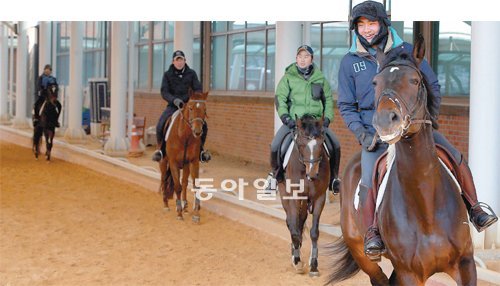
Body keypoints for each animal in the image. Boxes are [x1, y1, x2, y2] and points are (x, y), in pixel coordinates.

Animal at [159, 90, 208, 222]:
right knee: (164, 178)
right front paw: (179, 213)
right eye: (190, 108)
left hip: (186, 165)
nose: (197, 131)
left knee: (185, 182)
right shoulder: (173, 162)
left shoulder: (193, 161)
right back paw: (166, 205)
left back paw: (185, 205)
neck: (185, 136)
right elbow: (177, 186)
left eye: (204, 109)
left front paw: (196, 213)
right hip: (164, 161)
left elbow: (195, 185)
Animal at [280, 114, 330, 278]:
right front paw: (297, 262)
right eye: (301, 144)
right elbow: (294, 227)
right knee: (291, 222)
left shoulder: (319, 197)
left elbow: (314, 232)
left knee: (300, 221)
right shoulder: (294, 196)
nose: (312, 174)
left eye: (321, 143)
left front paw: (314, 265)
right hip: (285, 195)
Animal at [326, 36, 474, 284]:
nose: (385, 121)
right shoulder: (410, 274)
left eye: (415, 80)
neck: (426, 205)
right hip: (363, 255)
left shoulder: (465, 264)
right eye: (375, 82)